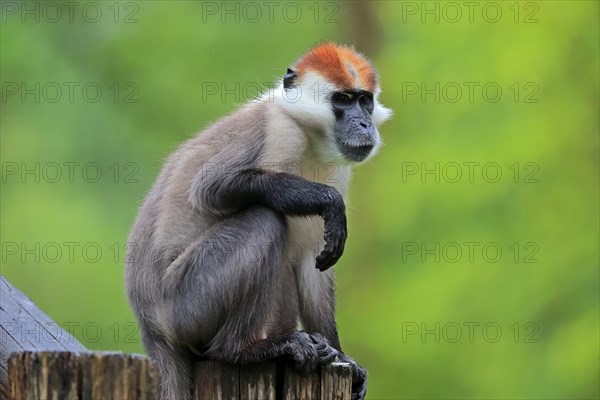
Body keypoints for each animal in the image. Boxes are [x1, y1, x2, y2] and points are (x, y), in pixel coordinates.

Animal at [124, 41, 392, 400]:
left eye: (364, 100)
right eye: (344, 100)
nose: (364, 124)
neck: (309, 136)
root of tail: (150, 325)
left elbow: (312, 258)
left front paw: (343, 357)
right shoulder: (279, 131)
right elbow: (209, 189)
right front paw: (328, 202)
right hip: (182, 305)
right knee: (264, 221)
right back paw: (242, 349)